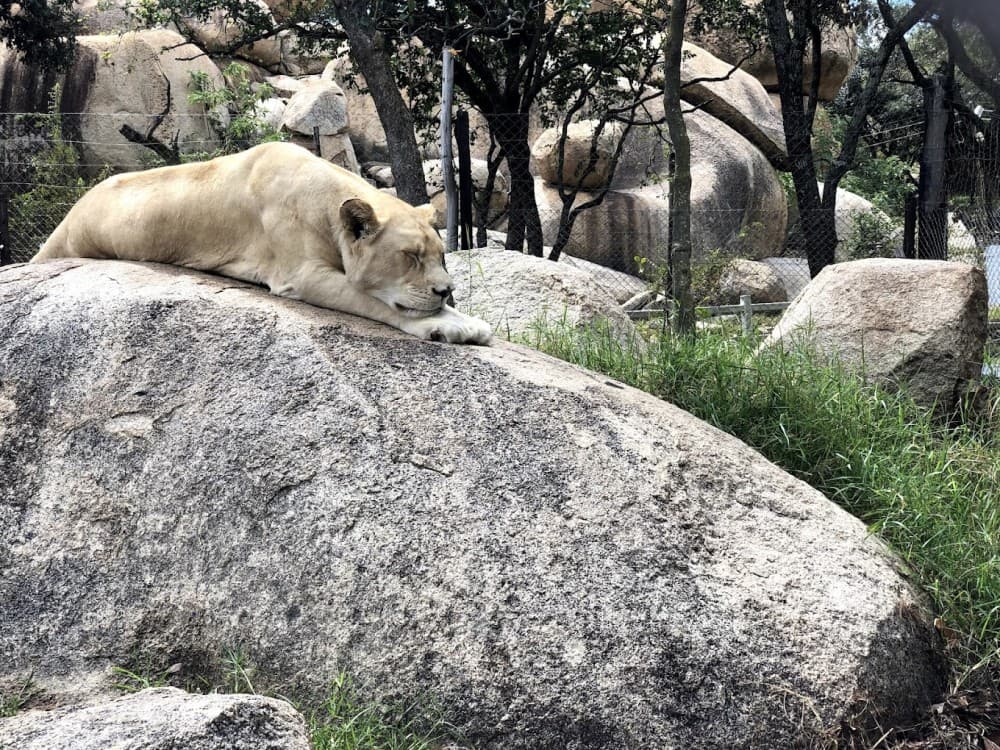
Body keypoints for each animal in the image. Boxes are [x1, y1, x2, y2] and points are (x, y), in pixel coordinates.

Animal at [32, 141, 492, 345]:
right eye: (410, 256)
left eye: (441, 257)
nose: (446, 289)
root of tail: (70, 213)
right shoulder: (300, 276)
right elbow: (376, 302)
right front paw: (452, 326)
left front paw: (462, 317)